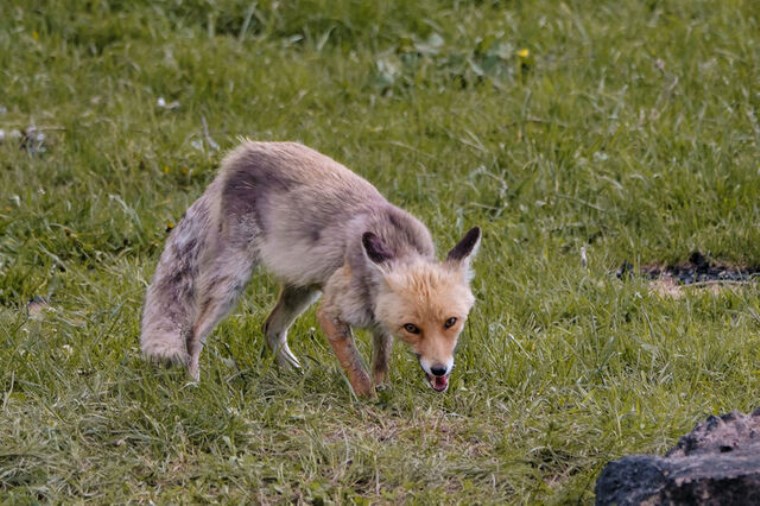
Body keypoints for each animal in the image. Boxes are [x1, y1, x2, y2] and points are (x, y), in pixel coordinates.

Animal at [142, 140, 480, 398]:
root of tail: (237, 155)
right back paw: (192, 382)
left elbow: (381, 359)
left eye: (451, 322)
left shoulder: (378, 320)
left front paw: (384, 389)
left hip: (302, 288)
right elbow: (357, 369)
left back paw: (294, 373)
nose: (440, 369)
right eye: (412, 328)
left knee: (270, 327)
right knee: (194, 334)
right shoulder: (330, 313)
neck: (397, 245)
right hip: (233, 280)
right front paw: (371, 401)